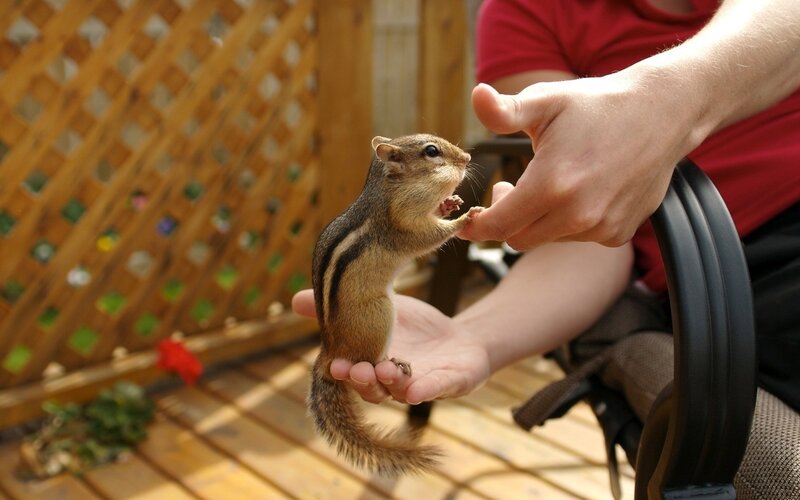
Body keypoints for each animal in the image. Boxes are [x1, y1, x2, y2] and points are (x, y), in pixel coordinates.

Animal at [308, 134, 483, 476]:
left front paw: (450, 204)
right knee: (369, 361)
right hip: (380, 315)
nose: (468, 158)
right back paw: (392, 363)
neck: (391, 190)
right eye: (432, 152)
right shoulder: (404, 224)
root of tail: (330, 352)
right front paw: (464, 217)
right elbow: (431, 236)